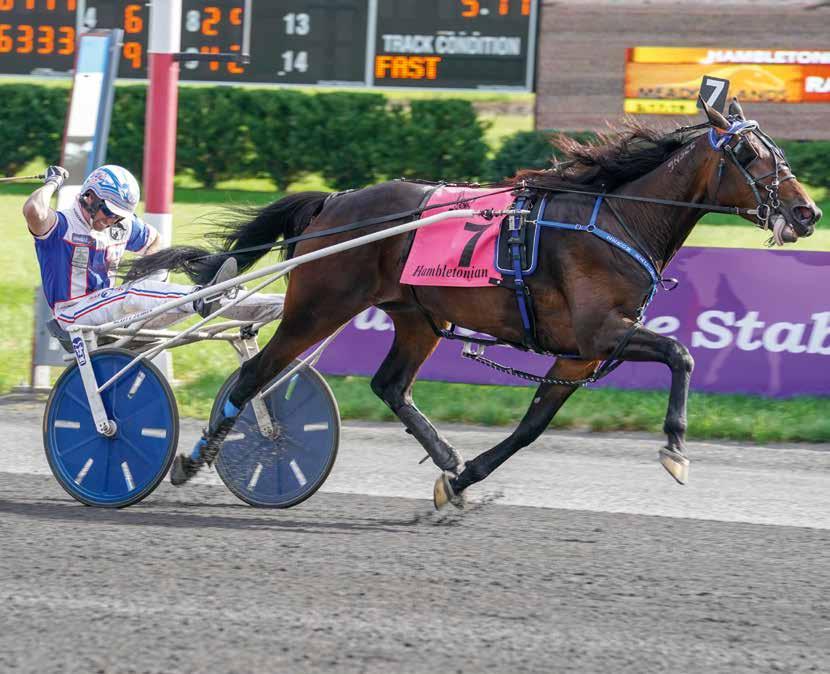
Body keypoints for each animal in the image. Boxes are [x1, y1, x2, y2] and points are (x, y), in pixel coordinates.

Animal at [127, 100, 824, 506]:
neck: (616, 216)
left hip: (418, 317)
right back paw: (194, 458)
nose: (806, 212)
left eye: (780, 151)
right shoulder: (603, 332)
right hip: (318, 306)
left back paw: (443, 454)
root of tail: (333, 202)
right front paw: (676, 447)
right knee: (255, 375)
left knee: (388, 385)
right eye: (748, 154)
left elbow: (533, 425)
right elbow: (681, 354)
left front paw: (462, 480)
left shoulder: (578, 353)